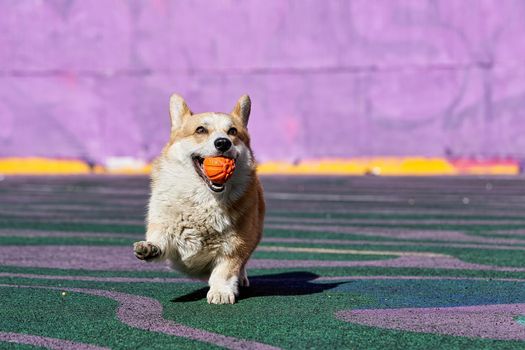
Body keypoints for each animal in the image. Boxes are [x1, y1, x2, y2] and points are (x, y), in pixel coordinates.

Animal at [133, 93, 264, 304]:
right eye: (200, 130)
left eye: (232, 131)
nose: (223, 142)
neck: (204, 199)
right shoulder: (165, 230)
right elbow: (160, 240)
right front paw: (149, 247)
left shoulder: (235, 246)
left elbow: (225, 270)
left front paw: (221, 292)